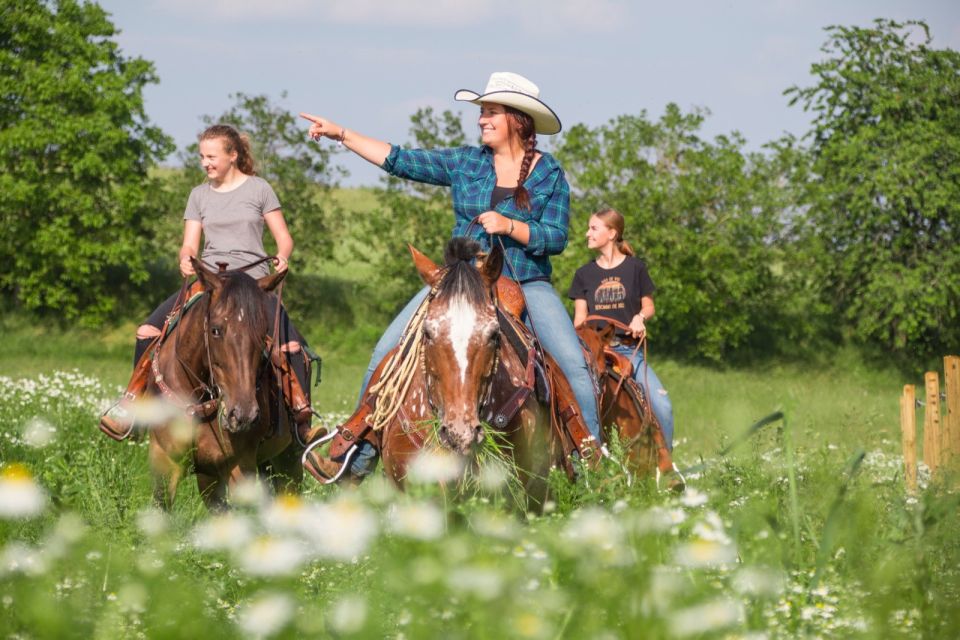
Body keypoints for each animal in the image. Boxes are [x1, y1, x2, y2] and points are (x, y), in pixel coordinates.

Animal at [146, 258, 302, 512]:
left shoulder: (240, 465)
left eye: (263, 333)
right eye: (215, 330)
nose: (244, 414)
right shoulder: (166, 461)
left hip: (288, 460)